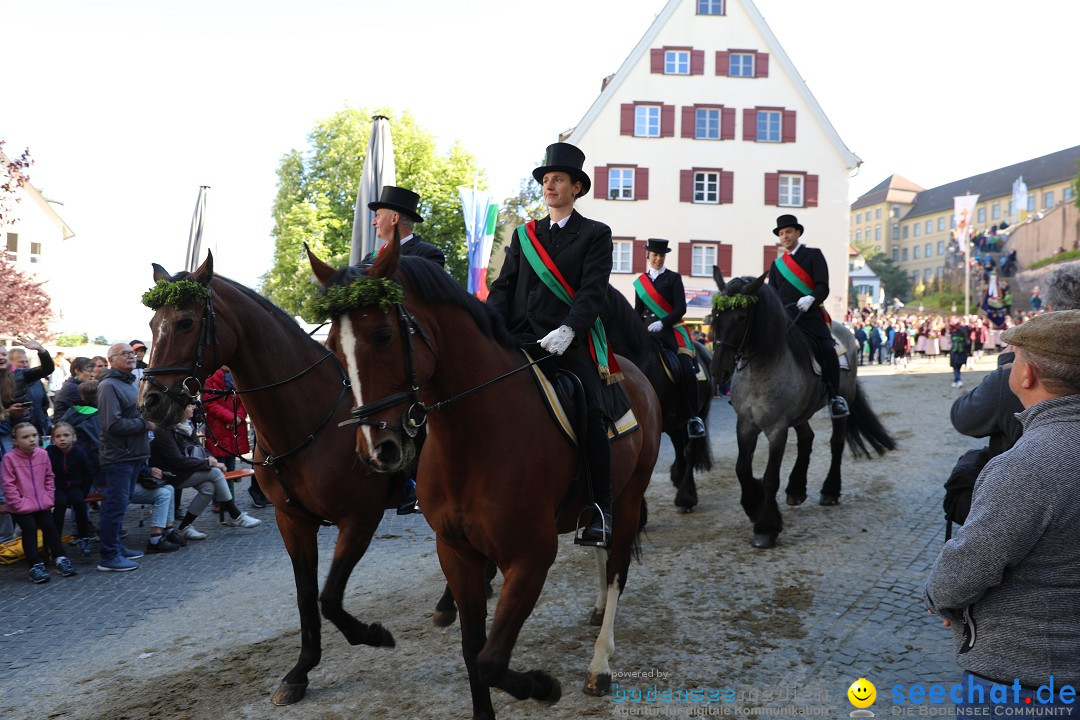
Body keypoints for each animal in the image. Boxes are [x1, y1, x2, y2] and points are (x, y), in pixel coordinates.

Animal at [136, 253, 406, 703]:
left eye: (185, 322)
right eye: (154, 324)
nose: (150, 402)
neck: (312, 419)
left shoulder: (360, 518)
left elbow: (329, 598)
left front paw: (373, 634)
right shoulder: (292, 522)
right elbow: (306, 595)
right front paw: (301, 670)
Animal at [308, 243, 660, 720]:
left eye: (382, 335)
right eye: (332, 348)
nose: (377, 450)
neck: (472, 441)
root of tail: (632, 372)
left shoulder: (531, 558)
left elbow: (491, 659)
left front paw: (544, 686)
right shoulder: (457, 553)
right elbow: (473, 649)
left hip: (627, 499)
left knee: (618, 568)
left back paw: (600, 663)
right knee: (602, 554)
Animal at [604, 284, 712, 511]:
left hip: (698, 411)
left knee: (690, 449)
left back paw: (686, 496)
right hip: (674, 421)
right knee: (680, 445)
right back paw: (679, 477)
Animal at [708, 267, 894, 548]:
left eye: (741, 317)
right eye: (717, 315)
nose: (719, 372)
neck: (759, 369)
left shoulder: (777, 429)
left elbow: (771, 476)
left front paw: (766, 527)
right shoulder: (746, 424)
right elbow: (741, 468)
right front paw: (753, 503)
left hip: (841, 402)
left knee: (835, 444)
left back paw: (829, 490)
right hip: (800, 413)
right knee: (807, 438)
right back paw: (796, 489)